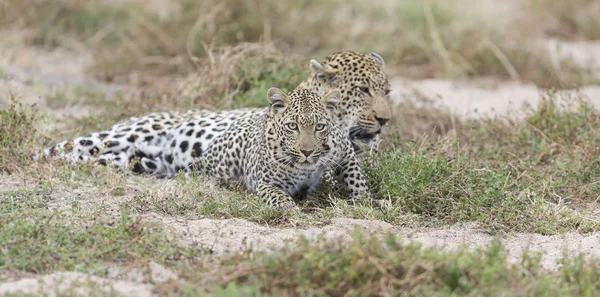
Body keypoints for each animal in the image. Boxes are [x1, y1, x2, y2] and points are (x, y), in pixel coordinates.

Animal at [34, 51, 394, 172]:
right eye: (362, 91)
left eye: (386, 92)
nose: (384, 119)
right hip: (123, 134)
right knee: (56, 149)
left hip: (131, 159)